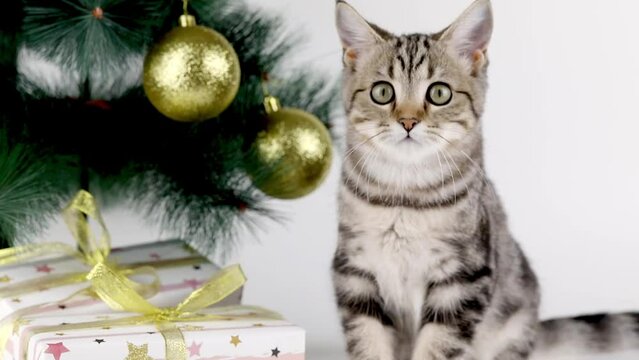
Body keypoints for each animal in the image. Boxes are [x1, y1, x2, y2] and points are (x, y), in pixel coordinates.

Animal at [332, 0, 639, 360]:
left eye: (439, 93)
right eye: (382, 92)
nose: (408, 121)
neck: (405, 195)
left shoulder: (462, 278)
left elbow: (437, 346)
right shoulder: (355, 272)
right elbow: (368, 341)